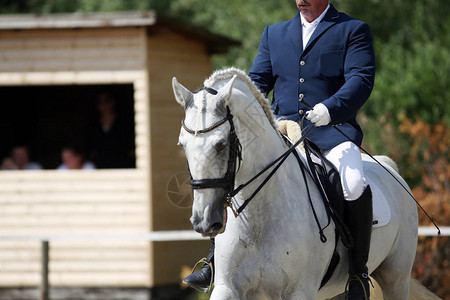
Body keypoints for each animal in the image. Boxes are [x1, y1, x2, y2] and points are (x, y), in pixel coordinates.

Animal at [171, 68, 422, 300]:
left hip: (396, 278)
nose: (204, 221)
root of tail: (388, 166)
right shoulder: (228, 289)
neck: (259, 216)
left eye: (221, 144)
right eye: (182, 144)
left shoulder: (300, 291)